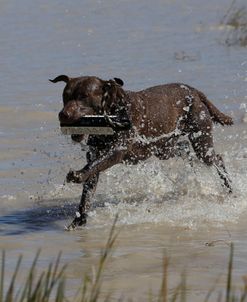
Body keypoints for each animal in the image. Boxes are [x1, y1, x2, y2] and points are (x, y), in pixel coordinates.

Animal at [50, 75, 233, 229]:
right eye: (65, 96)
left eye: (83, 96)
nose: (63, 114)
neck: (113, 111)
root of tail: (193, 91)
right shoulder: (96, 156)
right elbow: (88, 190)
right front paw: (78, 221)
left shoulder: (117, 151)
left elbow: (93, 166)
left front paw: (77, 174)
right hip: (163, 148)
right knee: (183, 147)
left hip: (200, 141)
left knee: (216, 159)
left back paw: (230, 188)